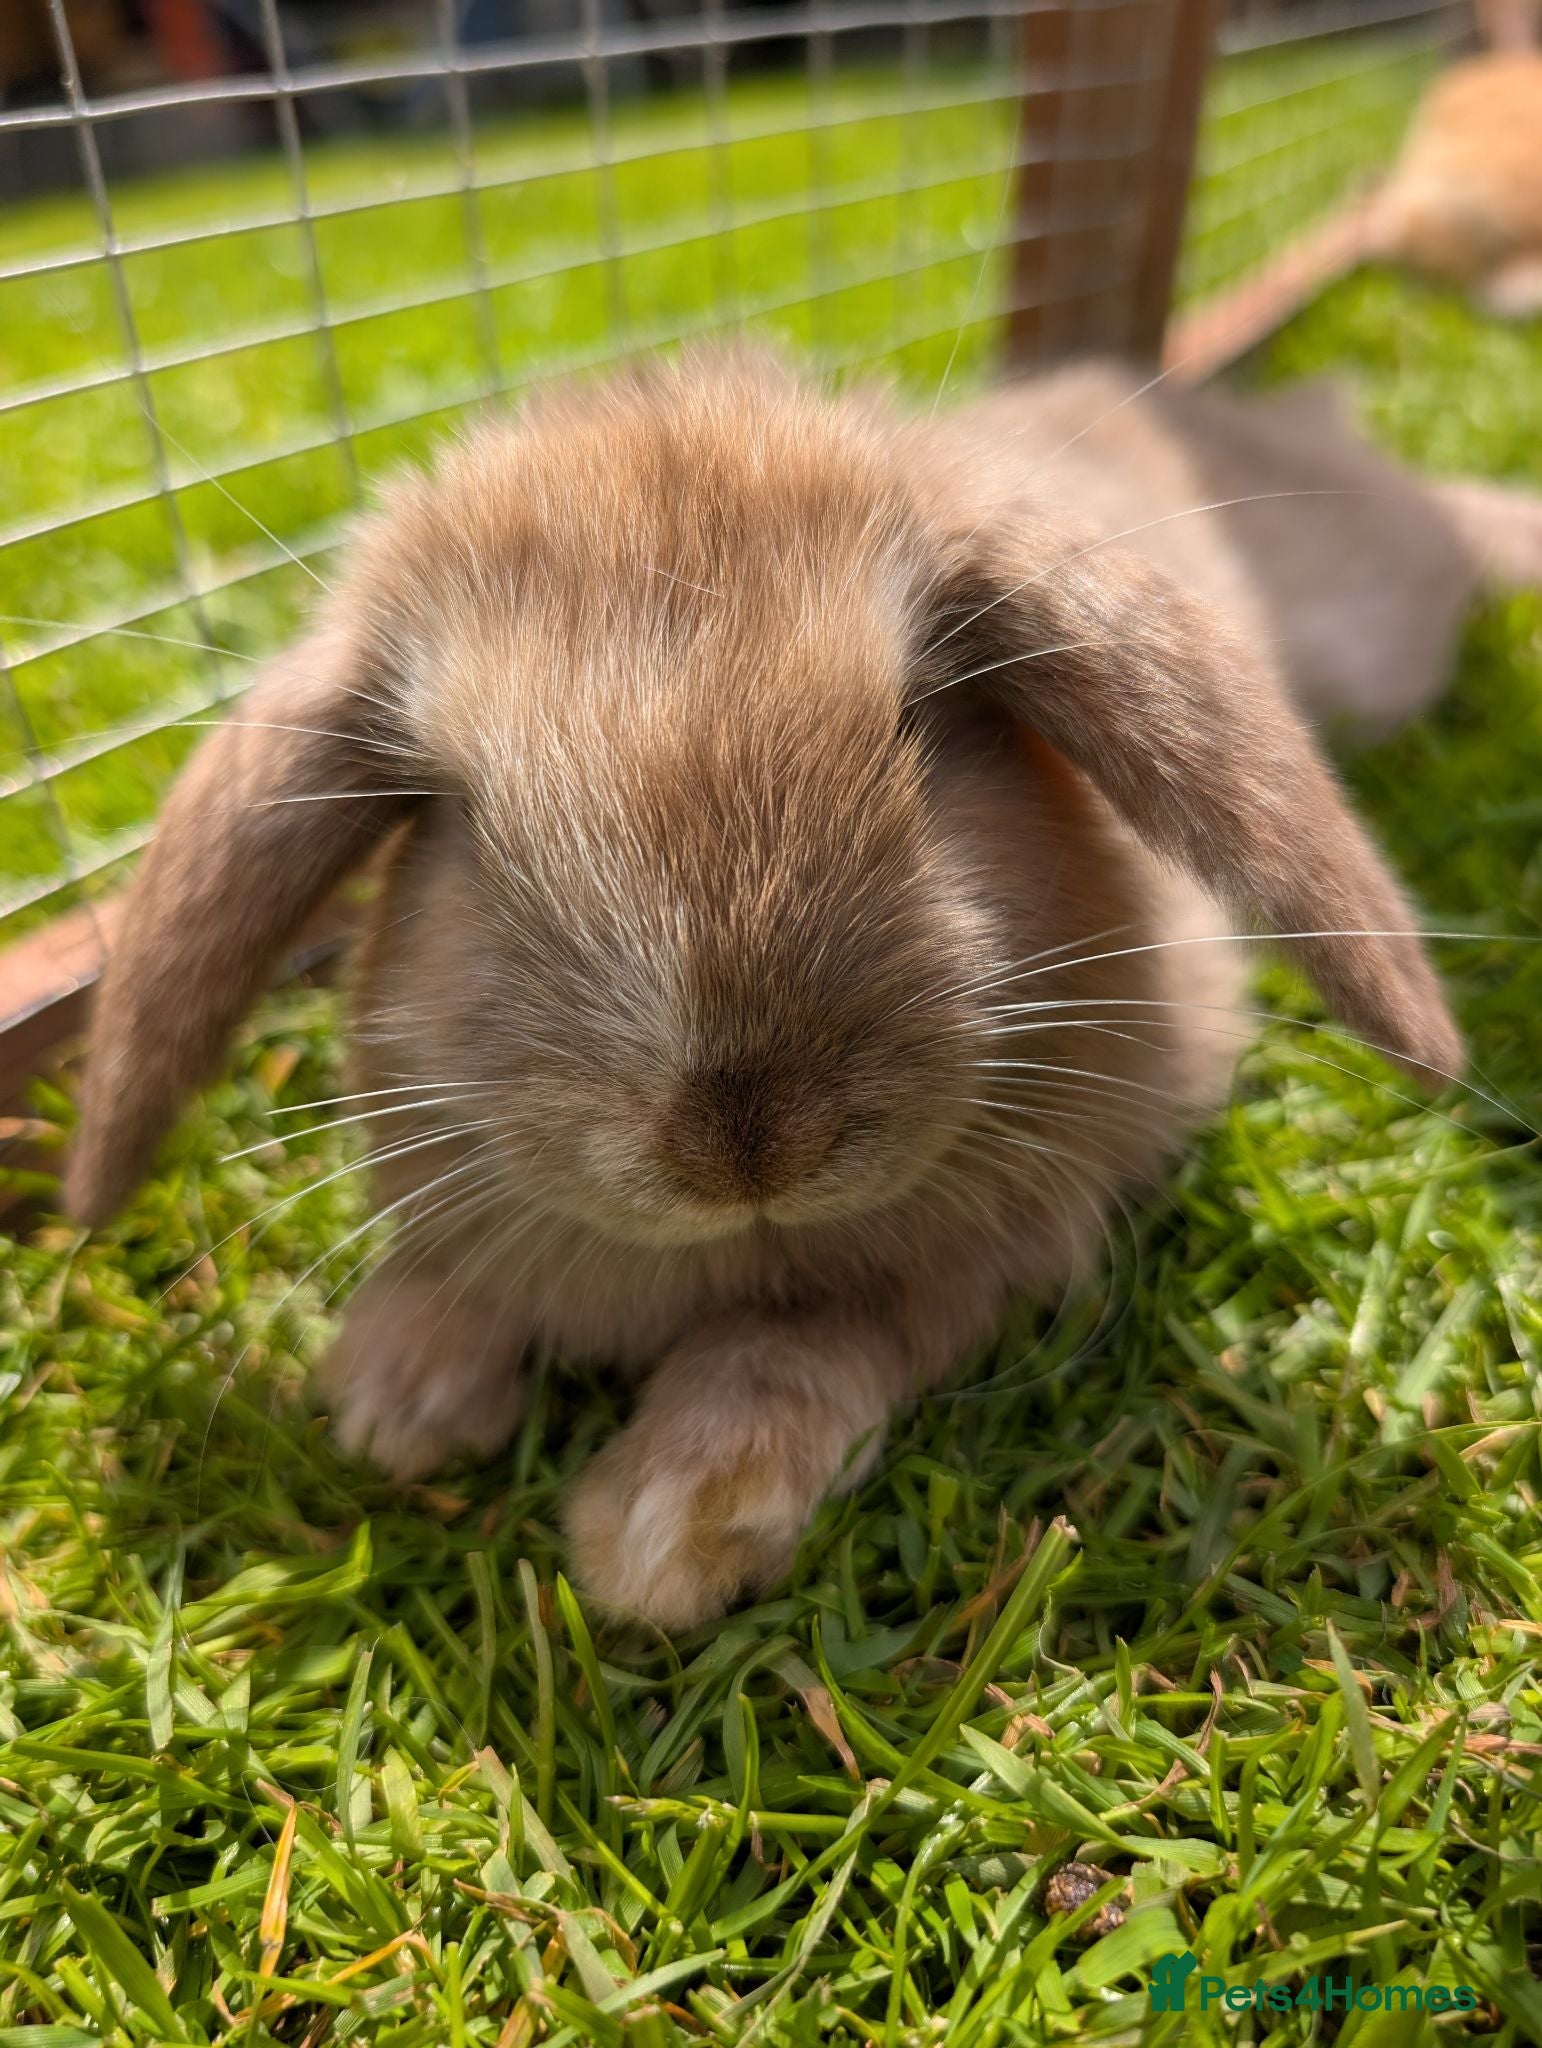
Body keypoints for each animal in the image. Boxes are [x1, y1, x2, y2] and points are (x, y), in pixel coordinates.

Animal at [67, 349, 1478, 1631]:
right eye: (452, 814)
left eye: (924, 722)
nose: (744, 1141)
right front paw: (392, 1394)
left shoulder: (992, 1248)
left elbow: (813, 1340)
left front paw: (668, 1527)